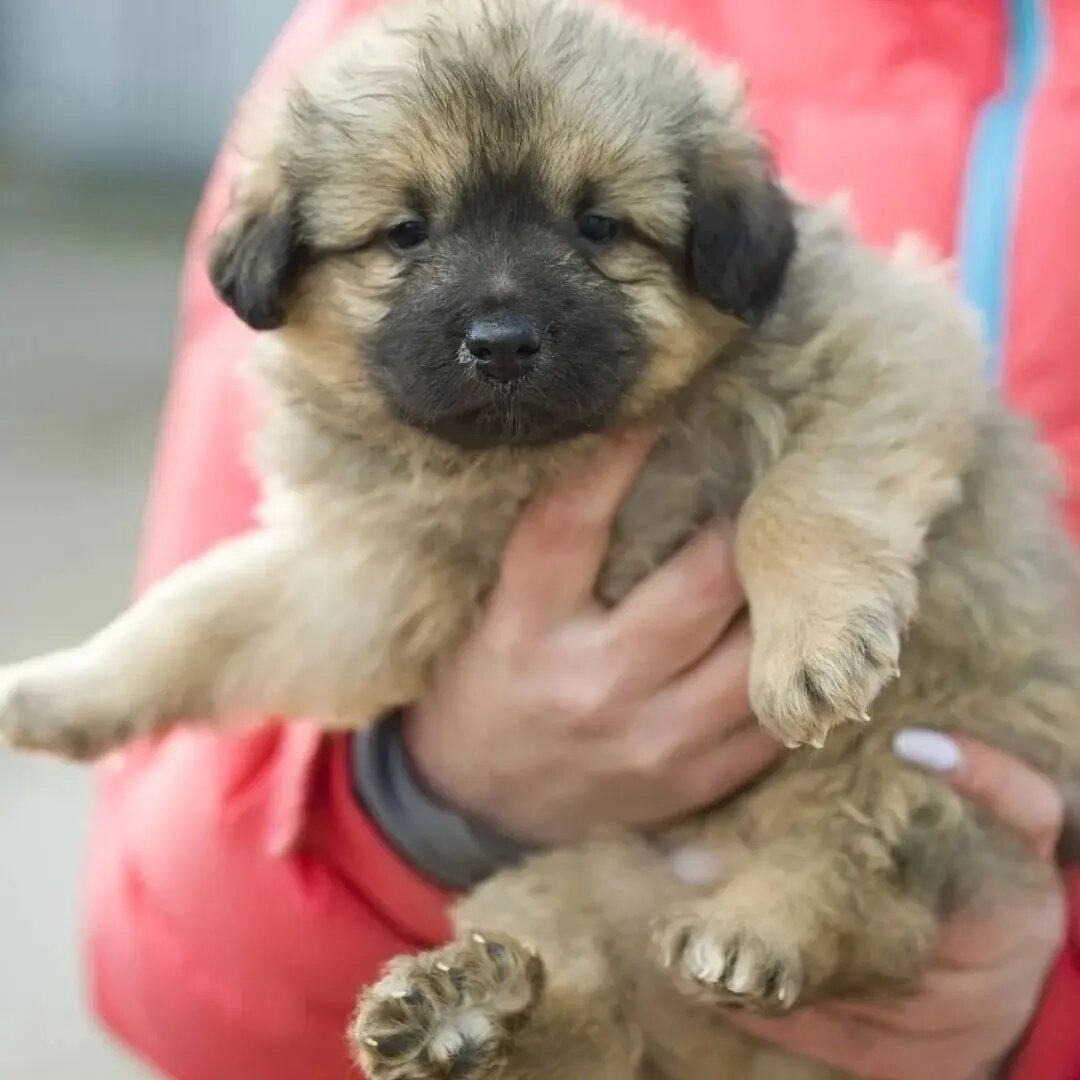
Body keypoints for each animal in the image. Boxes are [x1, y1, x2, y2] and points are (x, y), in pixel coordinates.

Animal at [2, 2, 1080, 1080]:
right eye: (407, 231)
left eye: (597, 225)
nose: (503, 342)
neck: (541, 459)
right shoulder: (371, 582)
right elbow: (201, 612)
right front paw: (61, 689)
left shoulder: (884, 341)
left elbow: (791, 501)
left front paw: (810, 648)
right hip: (567, 874)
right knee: (592, 1014)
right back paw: (458, 1015)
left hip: (925, 766)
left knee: (867, 891)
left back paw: (754, 931)